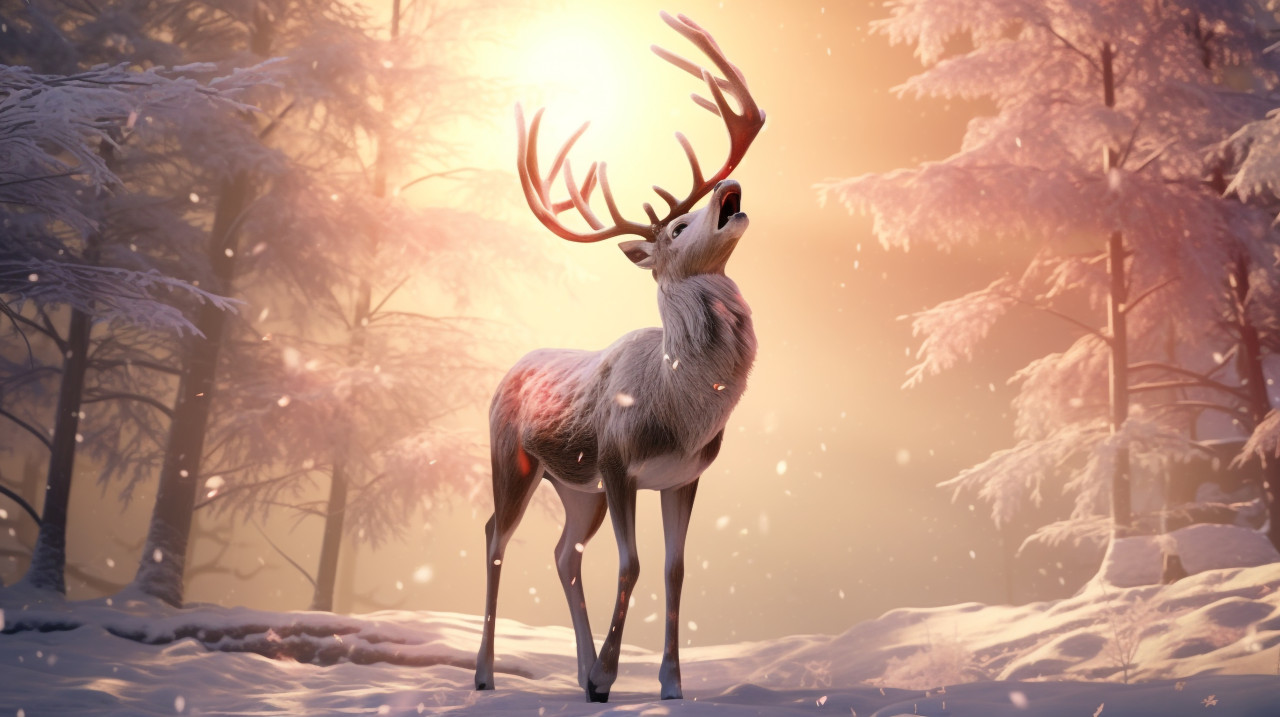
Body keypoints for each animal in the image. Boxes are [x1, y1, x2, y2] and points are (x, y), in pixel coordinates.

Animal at [473, 12, 764, 704]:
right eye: (678, 228)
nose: (729, 186)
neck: (681, 408)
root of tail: (508, 368)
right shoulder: (616, 460)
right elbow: (631, 564)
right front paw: (610, 674)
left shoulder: (683, 475)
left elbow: (675, 569)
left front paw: (669, 685)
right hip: (514, 458)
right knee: (495, 534)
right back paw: (487, 675)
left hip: (578, 489)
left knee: (563, 553)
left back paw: (578, 676)